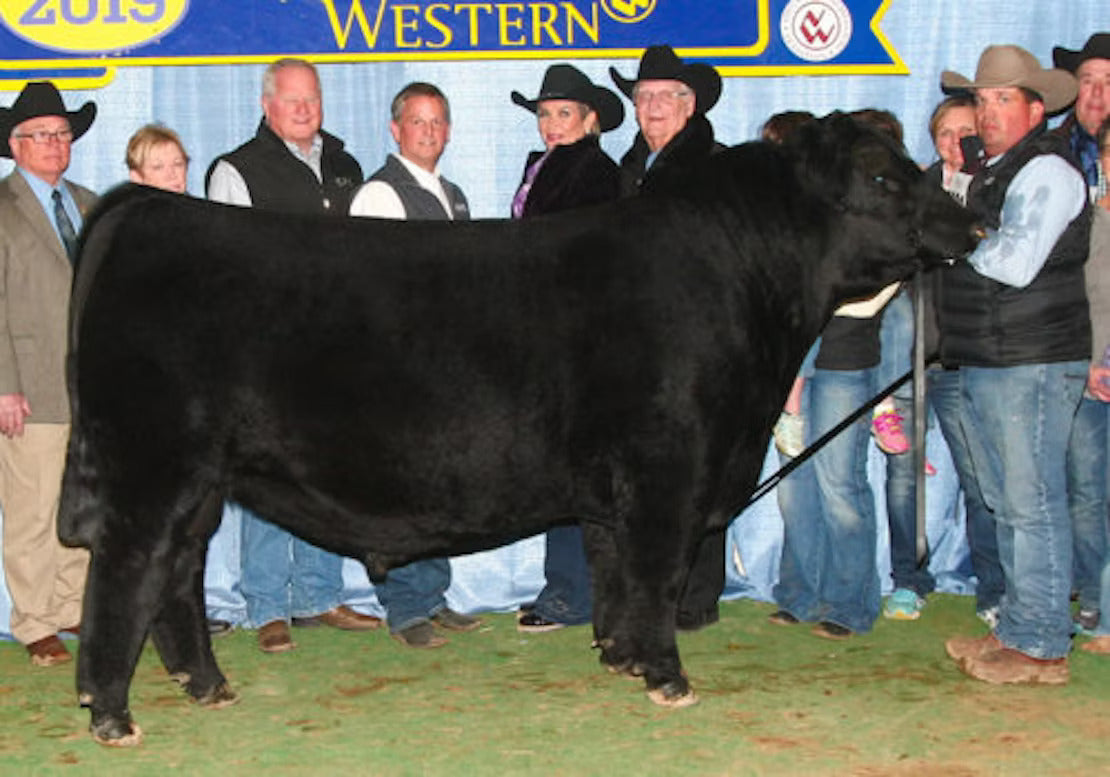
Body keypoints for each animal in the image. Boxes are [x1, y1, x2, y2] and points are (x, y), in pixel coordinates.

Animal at [58, 113, 980, 746]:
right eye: (882, 178)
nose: (972, 223)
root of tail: (149, 207)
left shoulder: (618, 489)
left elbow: (615, 571)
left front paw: (620, 655)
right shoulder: (670, 470)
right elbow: (658, 573)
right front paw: (668, 676)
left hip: (200, 477)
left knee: (177, 574)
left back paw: (206, 684)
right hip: (153, 464)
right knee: (126, 572)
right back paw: (110, 711)